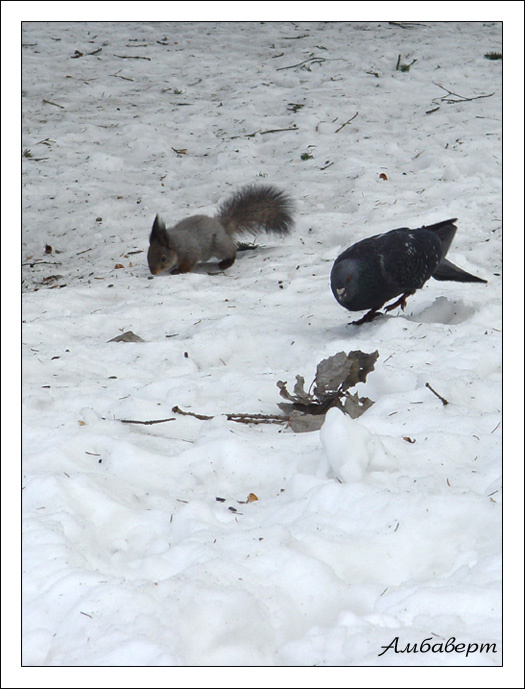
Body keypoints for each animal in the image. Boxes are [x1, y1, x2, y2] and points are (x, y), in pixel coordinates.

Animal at [147, 184, 294, 274]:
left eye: (163, 258)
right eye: (148, 255)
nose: (153, 272)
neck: (176, 245)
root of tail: (222, 226)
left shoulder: (191, 252)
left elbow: (188, 264)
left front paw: (178, 271)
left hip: (218, 245)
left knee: (231, 251)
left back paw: (226, 263)